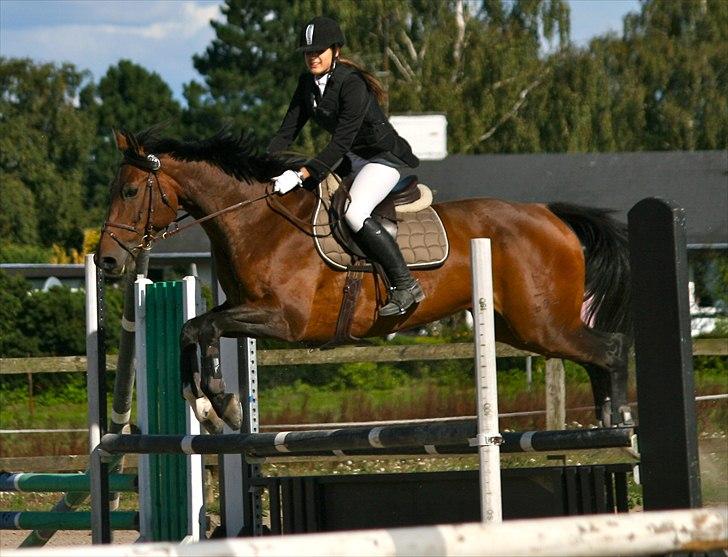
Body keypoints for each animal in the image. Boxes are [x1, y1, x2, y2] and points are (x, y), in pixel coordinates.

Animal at [96, 129, 632, 434]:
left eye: (129, 191)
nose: (105, 261)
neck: (256, 220)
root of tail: (549, 214)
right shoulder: (243, 310)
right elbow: (193, 328)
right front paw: (209, 406)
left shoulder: (285, 321)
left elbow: (202, 327)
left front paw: (222, 404)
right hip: (522, 327)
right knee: (595, 353)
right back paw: (606, 420)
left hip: (541, 323)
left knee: (609, 347)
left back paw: (620, 423)